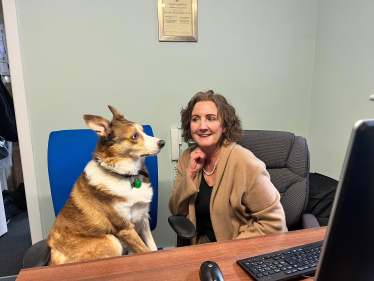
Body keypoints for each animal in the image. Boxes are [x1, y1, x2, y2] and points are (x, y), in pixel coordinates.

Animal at [45, 105, 165, 264]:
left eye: (143, 131)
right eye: (134, 136)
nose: (163, 143)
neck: (126, 176)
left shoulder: (143, 219)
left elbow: (152, 248)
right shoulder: (125, 229)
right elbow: (146, 251)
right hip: (111, 240)